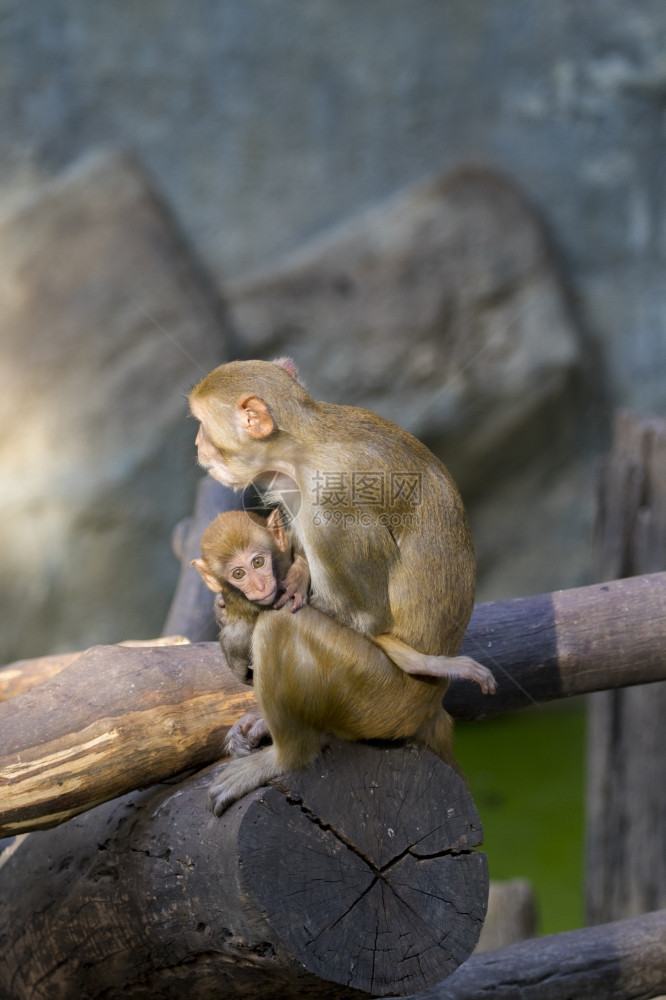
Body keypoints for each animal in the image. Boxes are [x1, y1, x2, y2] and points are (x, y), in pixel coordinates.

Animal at [189, 364, 490, 760]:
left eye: (202, 425)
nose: (197, 444)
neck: (301, 447)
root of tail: (428, 707)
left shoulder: (329, 505)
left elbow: (367, 617)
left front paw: (234, 627)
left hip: (373, 694)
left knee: (282, 625)